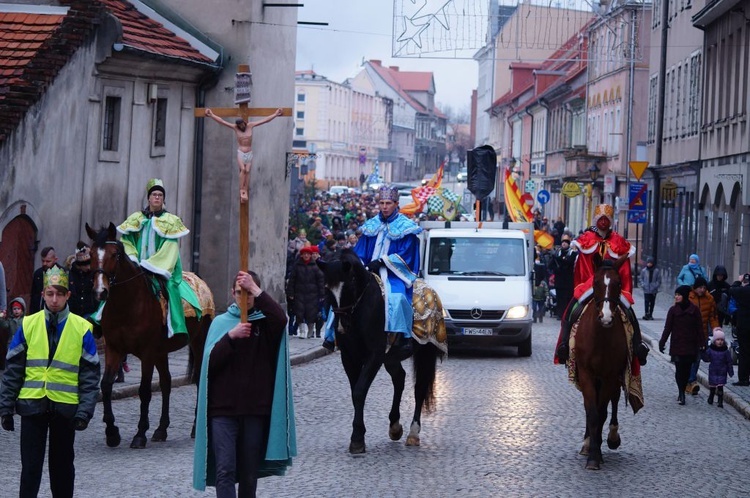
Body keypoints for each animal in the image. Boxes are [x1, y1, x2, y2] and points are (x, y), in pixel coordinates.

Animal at [86, 224, 213, 450]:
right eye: (91, 254)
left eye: (114, 254)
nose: (100, 291)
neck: (127, 305)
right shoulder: (114, 348)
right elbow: (106, 386)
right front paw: (112, 433)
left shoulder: (146, 352)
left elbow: (144, 390)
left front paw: (139, 434)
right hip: (161, 352)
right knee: (166, 382)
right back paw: (161, 429)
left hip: (198, 341)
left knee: (198, 379)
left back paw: (194, 429)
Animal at [318, 249, 446, 456]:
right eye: (327, 288)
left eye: (350, 285)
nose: (342, 326)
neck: (360, 309)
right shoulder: (349, 357)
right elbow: (355, 392)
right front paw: (359, 435)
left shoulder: (375, 355)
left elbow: (359, 391)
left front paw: (357, 439)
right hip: (391, 357)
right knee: (399, 378)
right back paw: (395, 426)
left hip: (425, 351)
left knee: (419, 388)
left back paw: (413, 433)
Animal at [572, 255, 632, 468]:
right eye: (596, 282)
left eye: (619, 283)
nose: (605, 318)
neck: (600, 337)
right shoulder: (586, 373)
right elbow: (592, 412)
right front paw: (592, 455)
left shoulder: (610, 374)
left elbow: (602, 411)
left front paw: (597, 451)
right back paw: (588, 442)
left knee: (613, 401)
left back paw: (612, 437)